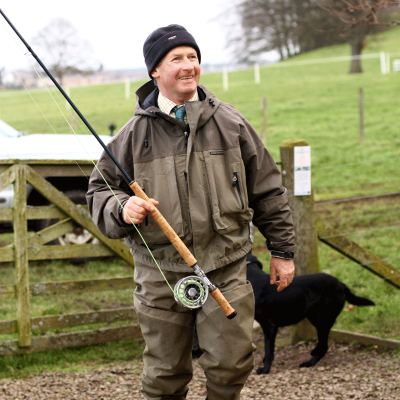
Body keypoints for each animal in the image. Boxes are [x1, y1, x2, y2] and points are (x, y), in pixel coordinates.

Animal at [247, 253, 376, 376]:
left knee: (325, 346)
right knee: (323, 341)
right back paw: (314, 351)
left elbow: (268, 349)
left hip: (323, 318)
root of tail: (341, 284)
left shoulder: (269, 325)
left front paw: (265, 369)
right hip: (316, 318)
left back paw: (309, 363)